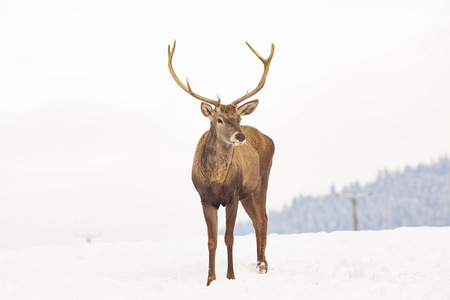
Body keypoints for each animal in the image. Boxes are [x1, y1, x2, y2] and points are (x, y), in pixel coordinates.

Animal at [168, 40, 274, 286]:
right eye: (219, 119)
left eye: (239, 118)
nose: (240, 135)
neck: (216, 179)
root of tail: (267, 137)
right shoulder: (206, 199)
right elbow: (212, 241)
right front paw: (210, 280)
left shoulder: (232, 195)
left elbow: (229, 238)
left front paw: (231, 276)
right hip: (247, 193)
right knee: (256, 220)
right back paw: (259, 264)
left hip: (261, 181)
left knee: (263, 219)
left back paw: (263, 265)